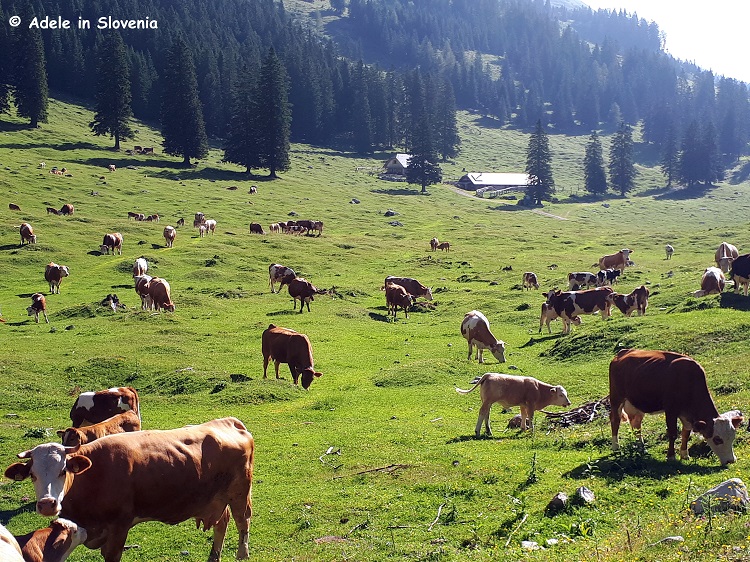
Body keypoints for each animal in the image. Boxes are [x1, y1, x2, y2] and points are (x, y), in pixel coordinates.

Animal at [3, 414, 256, 560]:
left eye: (63, 471)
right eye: (32, 475)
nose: (47, 504)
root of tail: (228, 421)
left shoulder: (119, 526)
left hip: (239, 492)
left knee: (242, 520)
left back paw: (242, 554)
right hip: (216, 498)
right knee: (221, 523)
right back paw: (214, 556)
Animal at [612, 346, 748, 464]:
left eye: (733, 437)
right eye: (717, 439)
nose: (731, 460)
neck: (689, 380)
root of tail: (623, 352)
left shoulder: (686, 414)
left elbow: (686, 434)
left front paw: (684, 455)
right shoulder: (671, 410)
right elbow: (672, 433)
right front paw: (671, 456)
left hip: (636, 404)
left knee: (636, 424)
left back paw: (641, 447)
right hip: (617, 397)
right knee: (615, 421)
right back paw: (616, 447)